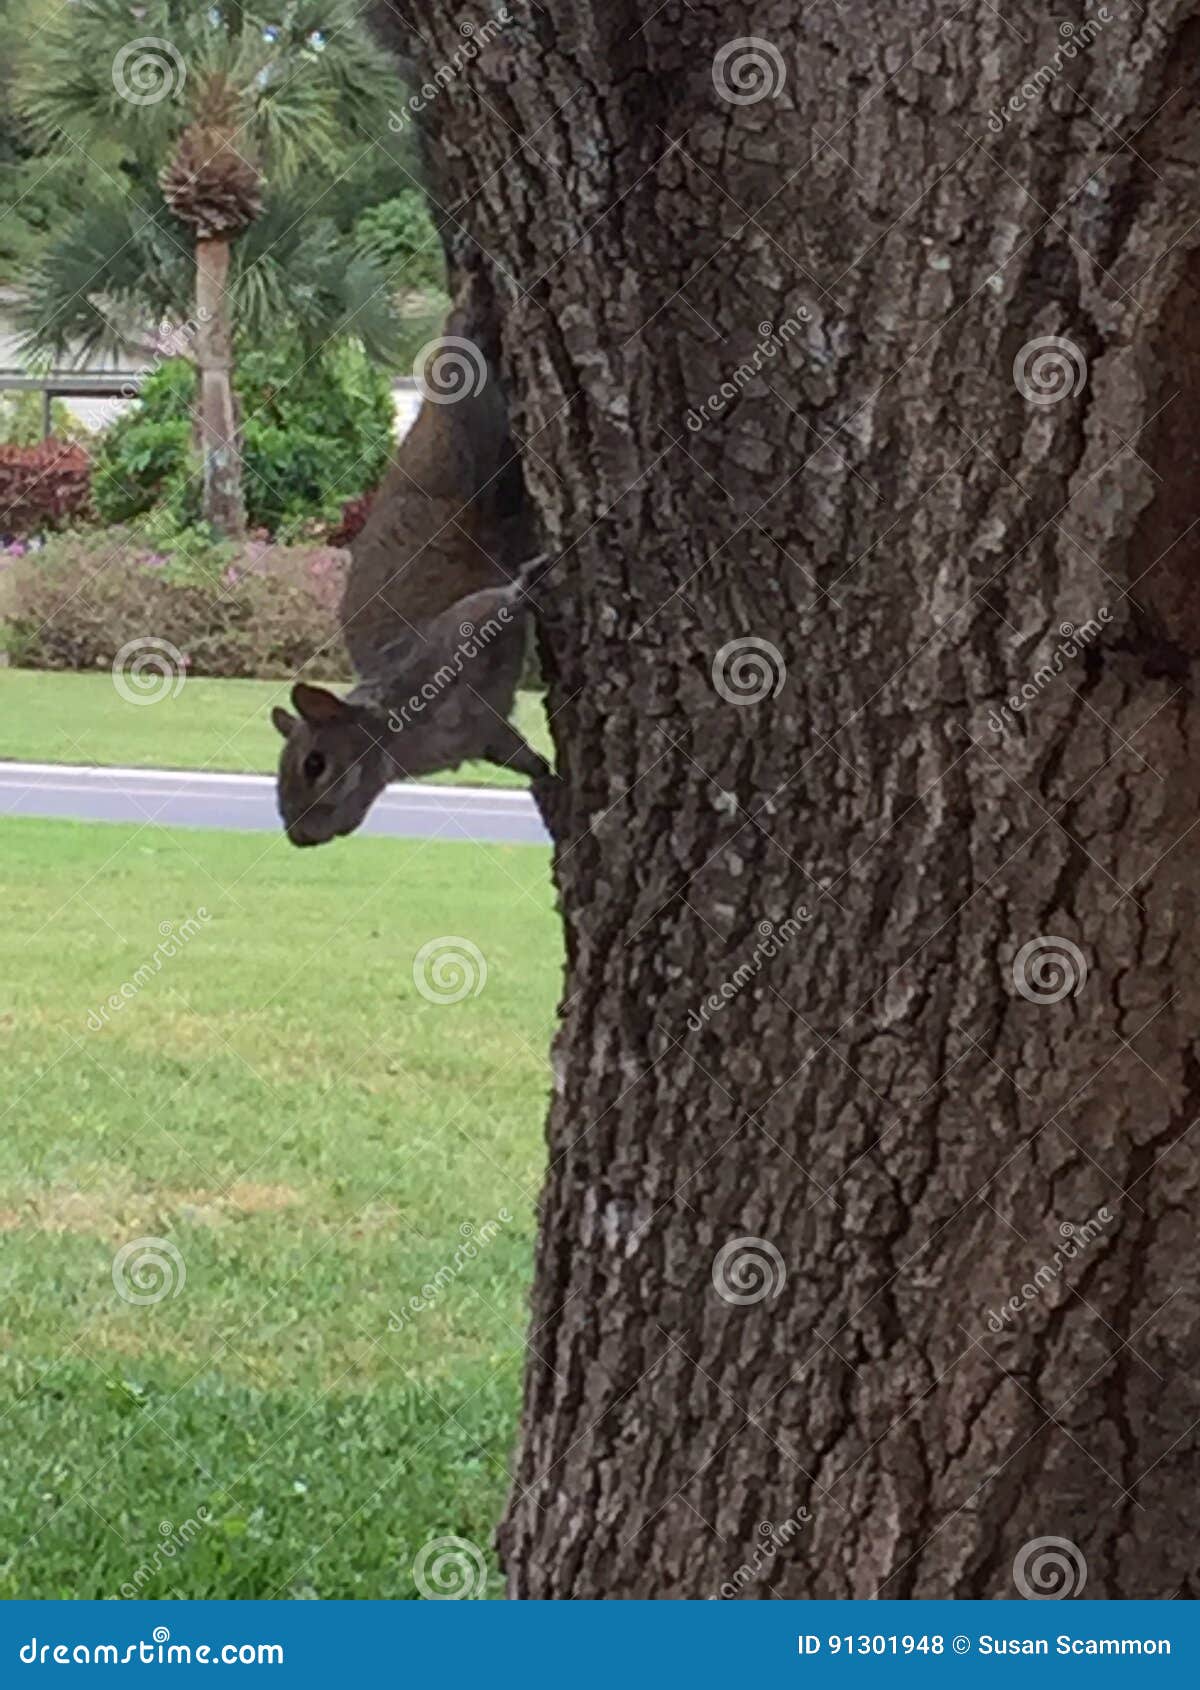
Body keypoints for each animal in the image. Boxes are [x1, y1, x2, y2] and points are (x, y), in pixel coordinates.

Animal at [273, 281, 551, 848]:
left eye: (315, 764)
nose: (297, 836)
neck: (396, 743)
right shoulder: (483, 736)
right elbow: (514, 751)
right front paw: (548, 779)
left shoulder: (445, 649)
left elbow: (492, 607)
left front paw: (528, 584)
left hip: (477, 433)